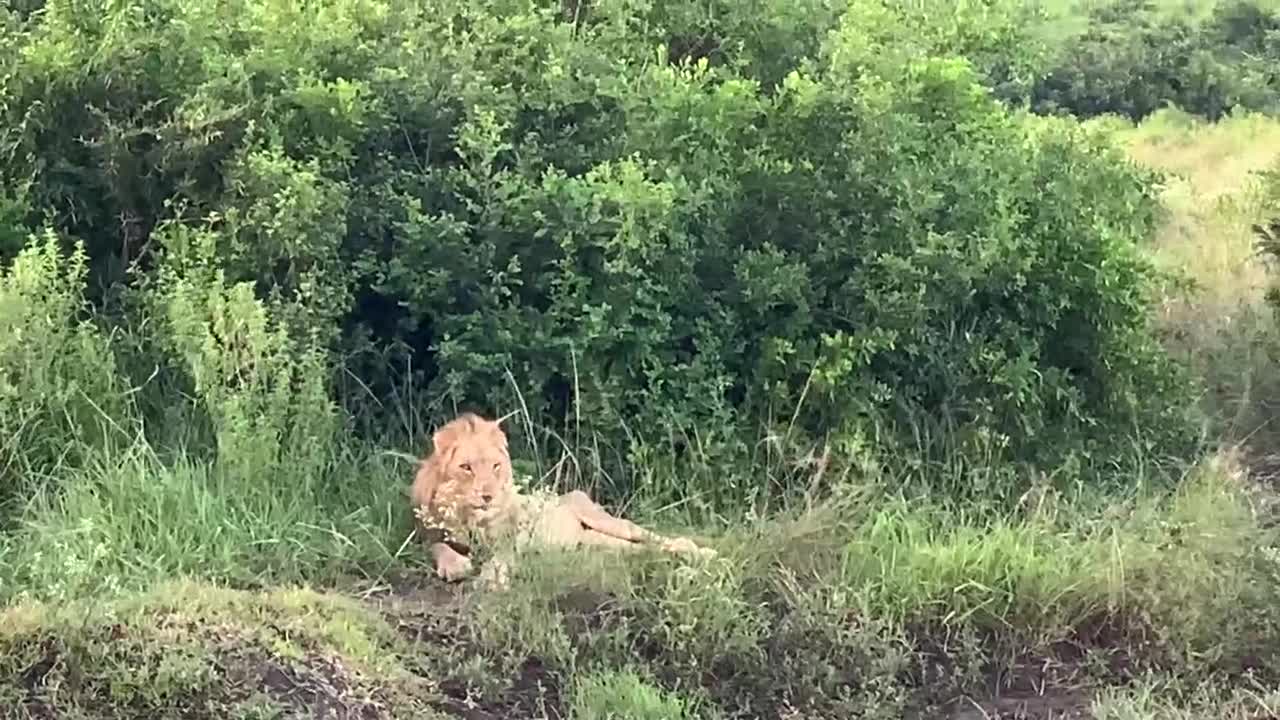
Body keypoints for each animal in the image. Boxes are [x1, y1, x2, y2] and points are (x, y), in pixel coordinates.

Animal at [409, 412, 711, 579]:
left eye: (496, 466)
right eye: (466, 468)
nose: (488, 497)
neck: (468, 517)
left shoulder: (511, 535)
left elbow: (503, 554)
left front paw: (491, 578)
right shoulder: (425, 533)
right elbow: (437, 547)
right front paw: (456, 565)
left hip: (606, 521)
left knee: (653, 538)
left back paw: (699, 552)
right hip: (596, 543)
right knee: (640, 549)